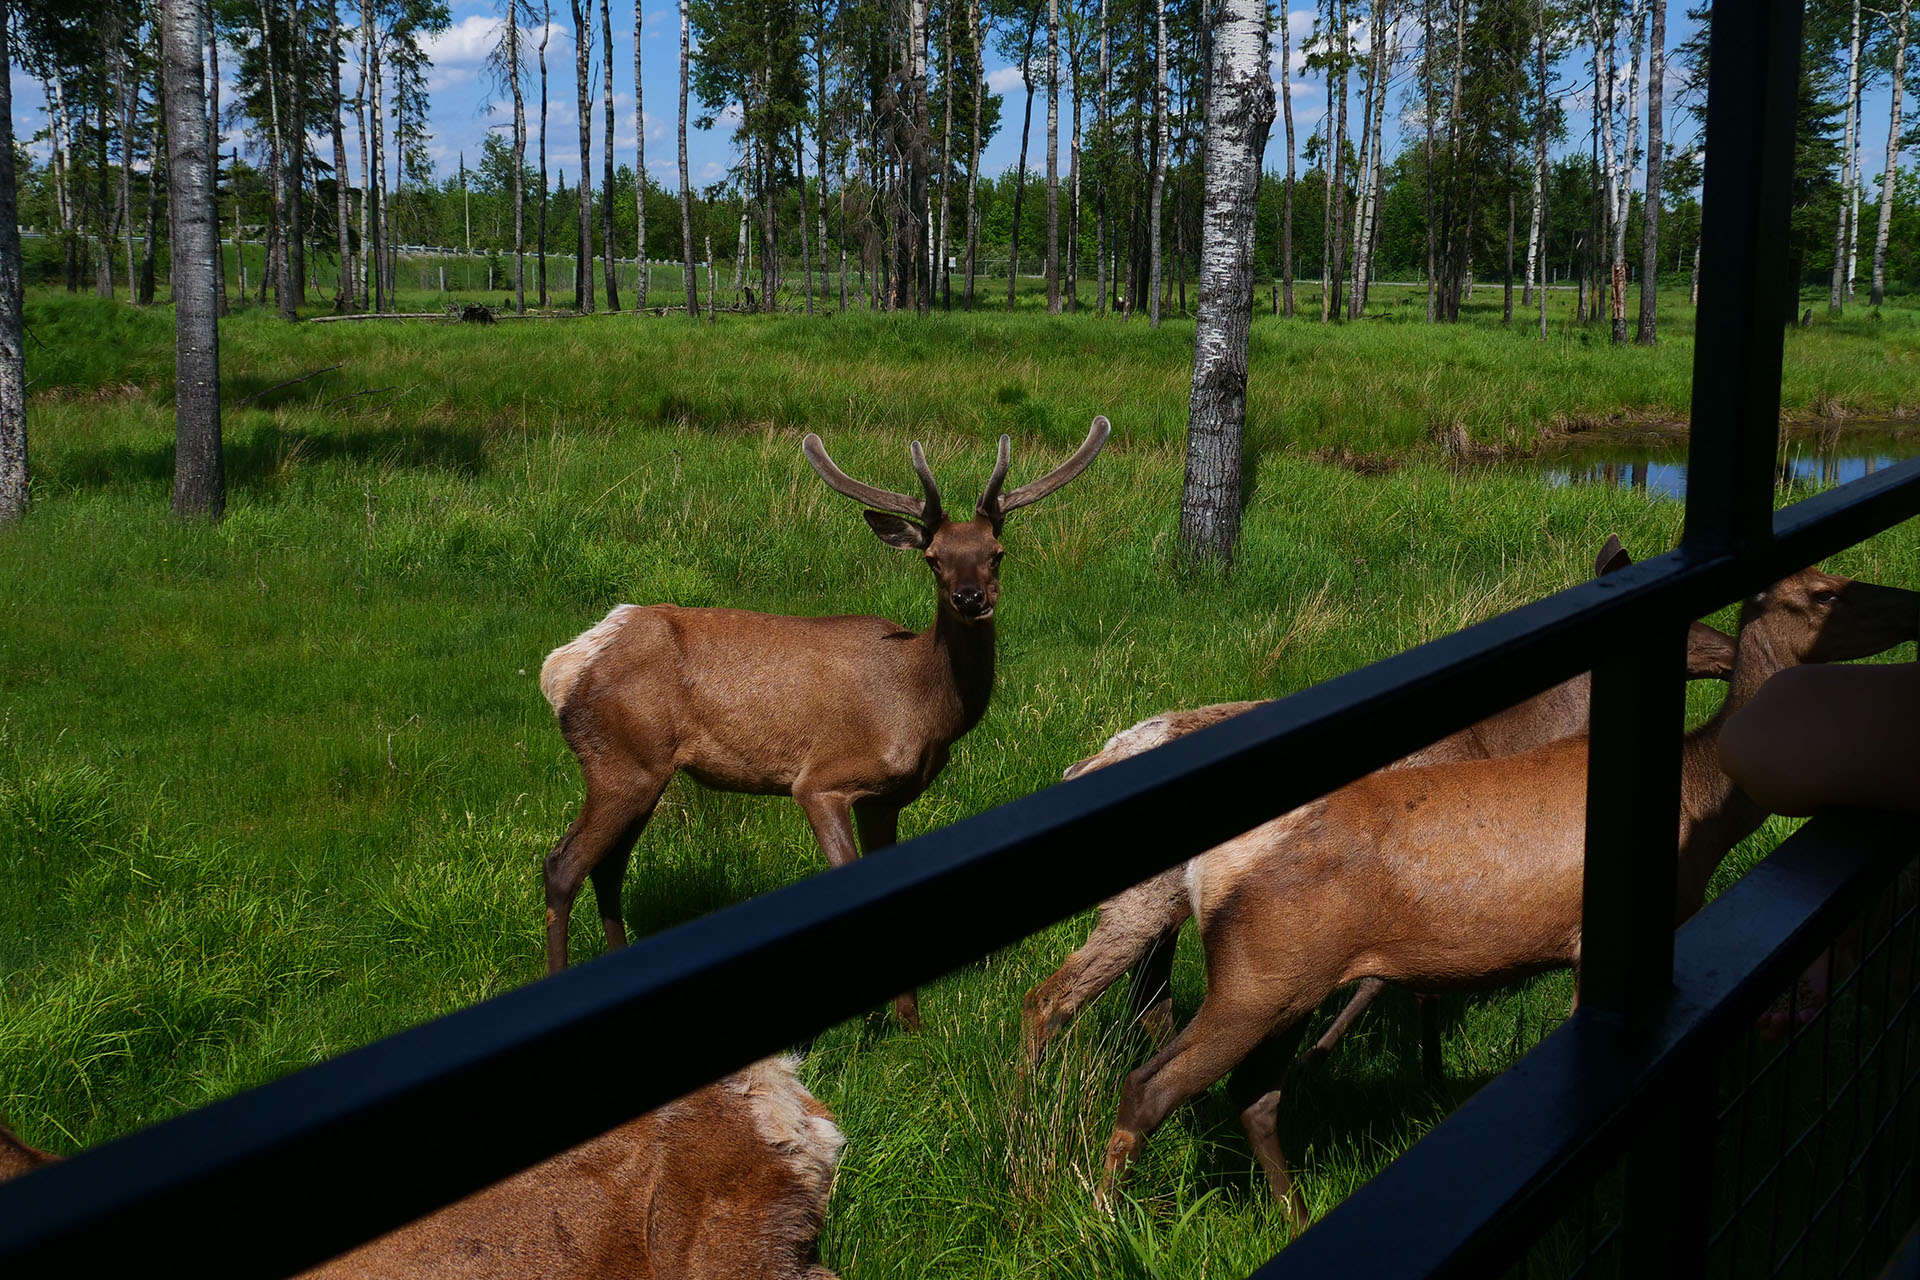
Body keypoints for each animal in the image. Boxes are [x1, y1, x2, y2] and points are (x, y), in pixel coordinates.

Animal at [541, 420, 1113, 1028]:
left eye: (997, 553)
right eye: (933, 558)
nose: (970, 597)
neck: (921, 708)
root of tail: (563, 666)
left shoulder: (886, 798)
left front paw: (909, 1025)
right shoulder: (822, 780)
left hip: (645, 772)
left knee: (609, 868)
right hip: (621, 762)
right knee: (563, 865)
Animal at [1029, 537, 1751, 1074]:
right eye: (1690, 619)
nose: (1731, 648)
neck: (1505, 737)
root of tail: (1080, 765)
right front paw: (1358, 1063)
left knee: (1145, 1002)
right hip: (1137, 902)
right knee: (1053, 998)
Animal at [1098, 568, 1920, 1220]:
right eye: (1824, 593)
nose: (1912, 600)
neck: (1698, 806)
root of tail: (1203, 871)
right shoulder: (1595, 940)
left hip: (1291, 980)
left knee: (1253, 1094)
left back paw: (1291, 1214)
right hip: (1258, 977)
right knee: (1151, 1085)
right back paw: (1107, 1215)